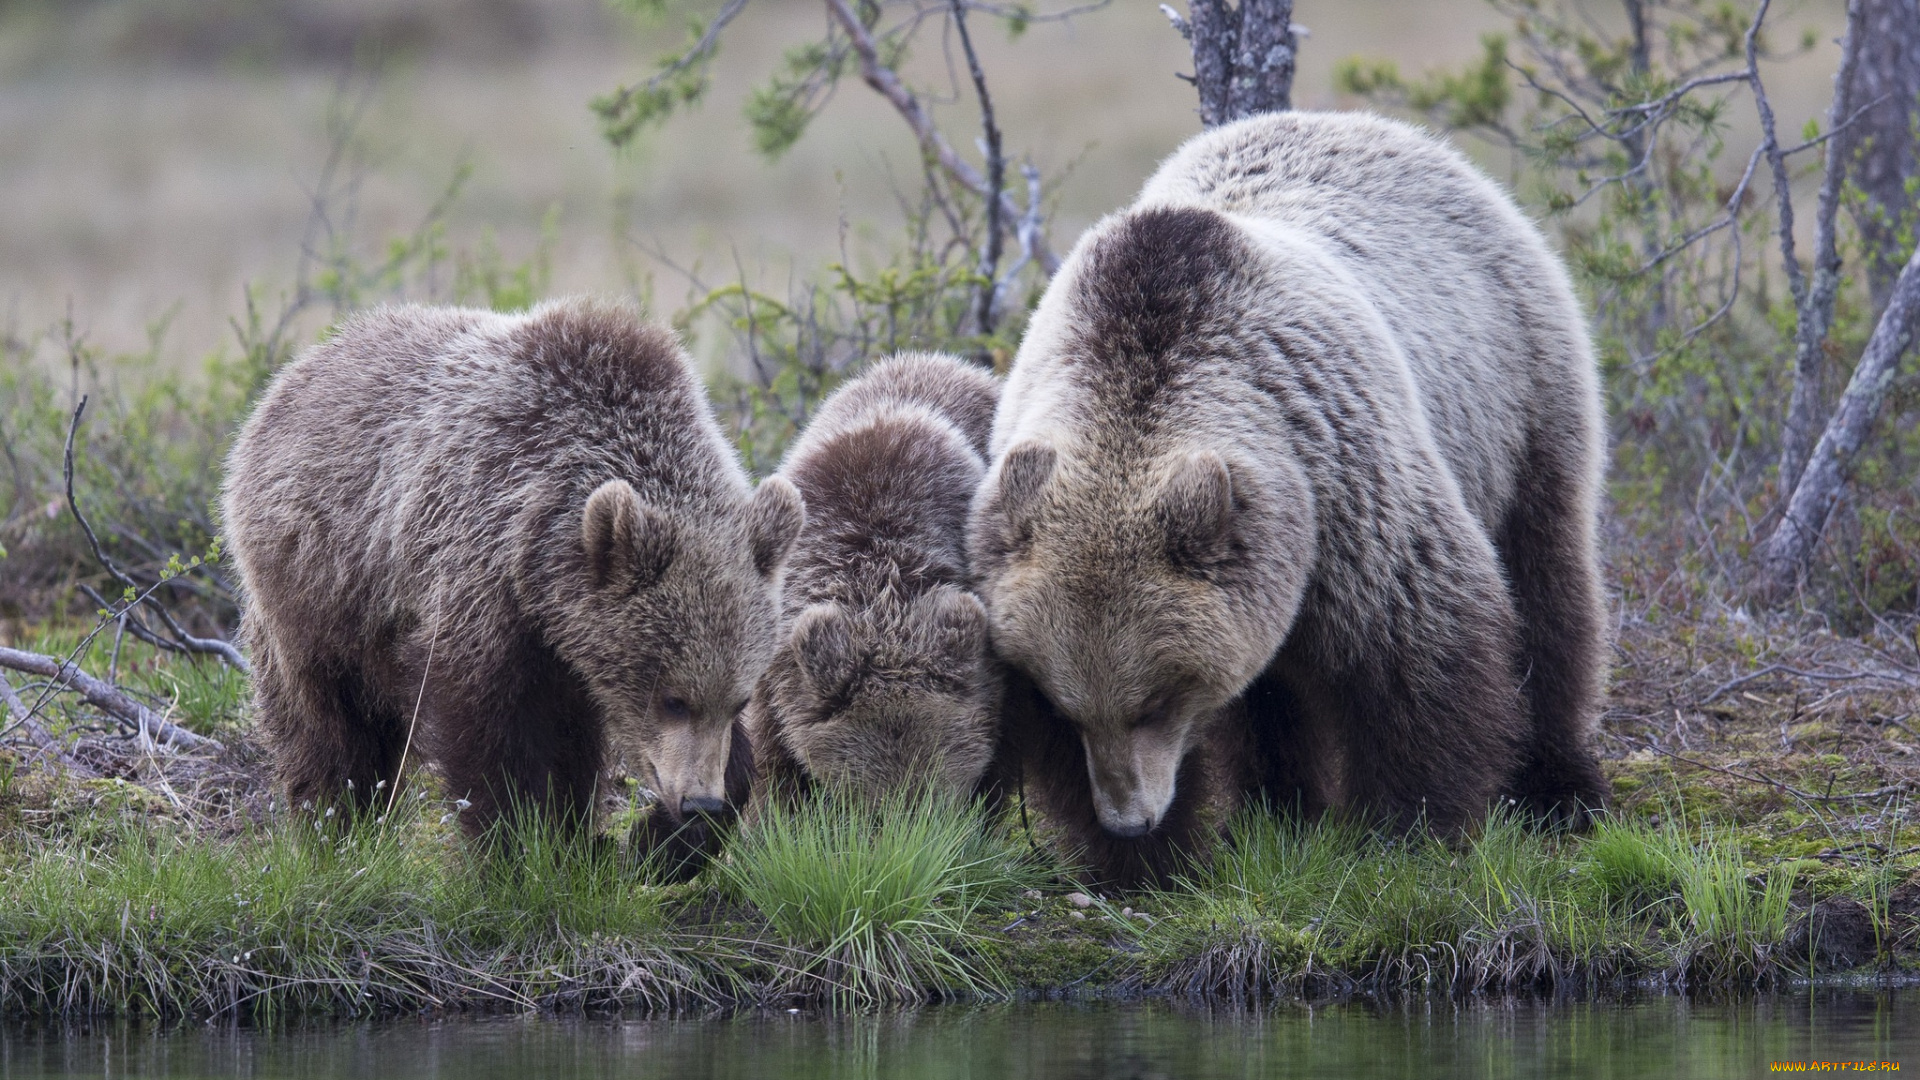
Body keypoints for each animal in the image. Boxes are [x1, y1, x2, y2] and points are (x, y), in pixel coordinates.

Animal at [224, 295, 802, 849]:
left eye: (739, 699)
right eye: (672, 699)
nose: (699, 803)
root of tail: (293, 373)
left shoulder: (567, 641)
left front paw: (661, 839)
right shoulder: (477, 570)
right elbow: (490, 736)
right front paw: (520, 844)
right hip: (322, 583)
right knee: (331, 724)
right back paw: (336, 822)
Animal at [967, 111, 1612, 883]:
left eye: (1157, 700)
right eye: (1067, 704)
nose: (1128, 817)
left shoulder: (1345, 487)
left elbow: (1419, 644)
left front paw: (1407, 825)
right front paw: (1149, 855)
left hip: (1519, 389)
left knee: (1547, 578)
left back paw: (1559, 783)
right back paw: (1276, 806)